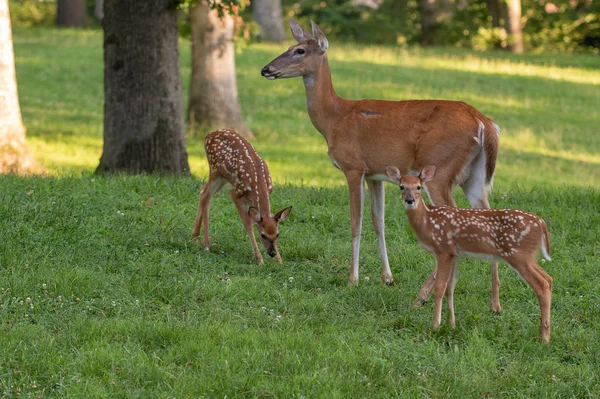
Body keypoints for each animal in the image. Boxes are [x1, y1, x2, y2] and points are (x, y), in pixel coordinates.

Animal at [192, 130, 292, 264]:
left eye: (277, 234)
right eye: (263, 235)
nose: (272, 253)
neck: (257, 183)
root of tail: (208, 134)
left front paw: (280, 260)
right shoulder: (236, 193)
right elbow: (248, 224)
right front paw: (259, 259)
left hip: (223, 177)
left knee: (203, 191)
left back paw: (195, 236)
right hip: (215, 170)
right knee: (206, 196)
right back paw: (206, 244)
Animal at [262, 19, 502, 312]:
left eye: (299, 51)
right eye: (290, 46)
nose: (266, 69)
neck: (334, 119)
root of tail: (484, 123)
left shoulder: (353, 167)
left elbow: (356, 222)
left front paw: (352, 279)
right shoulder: (375, 174)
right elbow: (379, 221)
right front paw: (387, 277)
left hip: (440, 170)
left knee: (455, 220)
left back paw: (422, 297)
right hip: (474, 177)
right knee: (486, 216)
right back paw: (495, 303)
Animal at [386, 164, 552, 342]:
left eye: (419, 187)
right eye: (401, 186)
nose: (409, 200)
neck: (428, 222)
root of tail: (541, 224)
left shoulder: (443, 249)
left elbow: (440, 287)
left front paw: (436, 325)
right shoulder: (455, 254)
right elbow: (450, 287)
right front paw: (452, 324)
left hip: (517, 254)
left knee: (541, 284)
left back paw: (544, 338)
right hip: (527, 256)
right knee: (548, 278)